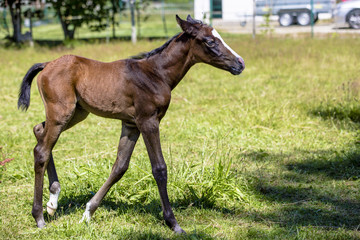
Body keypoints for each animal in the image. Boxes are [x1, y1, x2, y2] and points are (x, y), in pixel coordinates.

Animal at [17, 14, 245, 232]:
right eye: (210, 41)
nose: (240, 63)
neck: (155, 74)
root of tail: (47, 64)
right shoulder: (148, 121)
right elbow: (159, 168)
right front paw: (173, 223)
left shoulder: (130, 124)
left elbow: (120, 166)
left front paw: (88, 212)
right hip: (61, 112)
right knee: (41, 151)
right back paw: (39, 217)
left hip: (77, 113)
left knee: (39, 132)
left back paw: (53, 201)